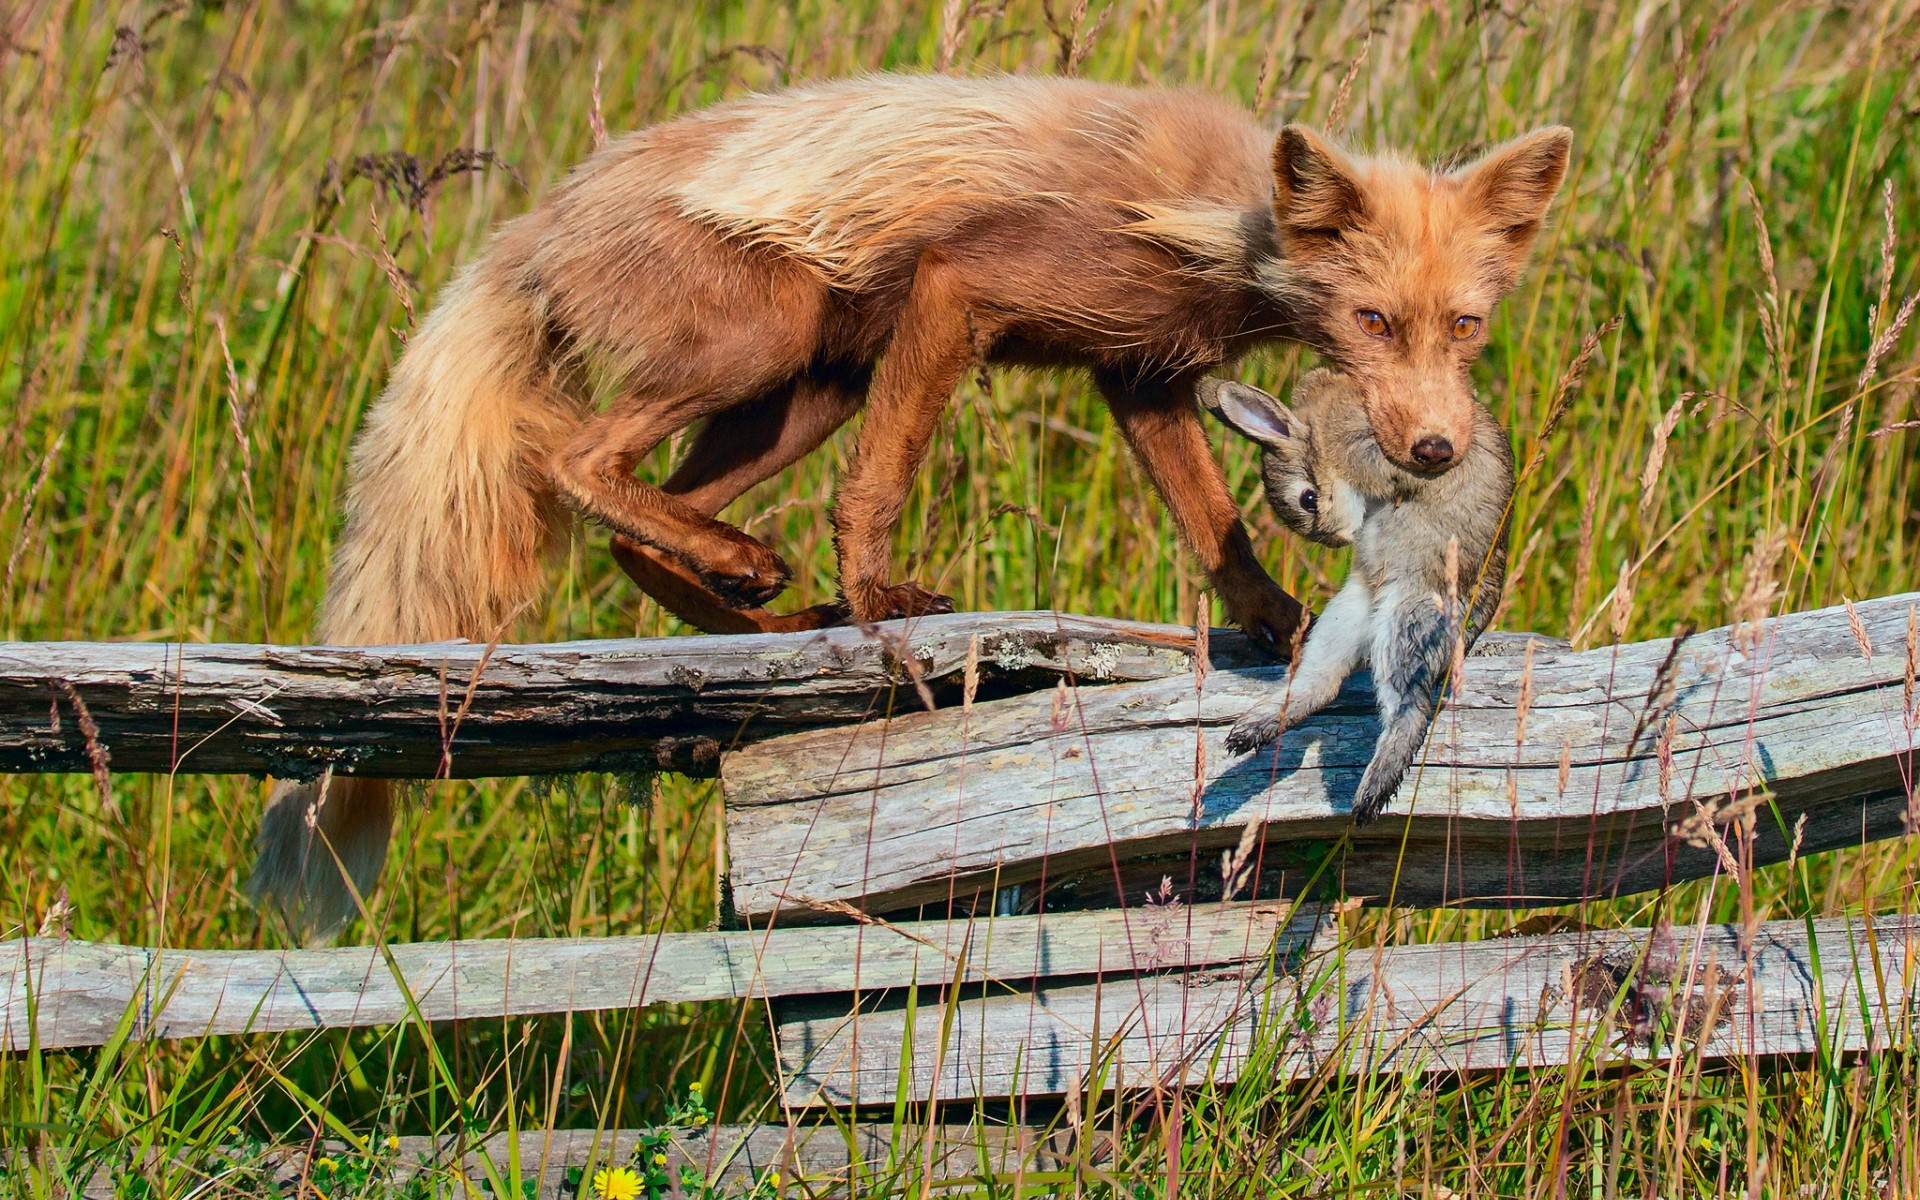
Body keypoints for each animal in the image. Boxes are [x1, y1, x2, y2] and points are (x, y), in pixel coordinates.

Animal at [1198, 366, 1512, 821]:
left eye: (1309, 498)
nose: (1339, 538)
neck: (1319, 430)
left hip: (1408, 618)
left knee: (1410, 708)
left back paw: (1371, 794)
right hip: (1347, 615)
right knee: (1321, 684)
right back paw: (1250, 732)